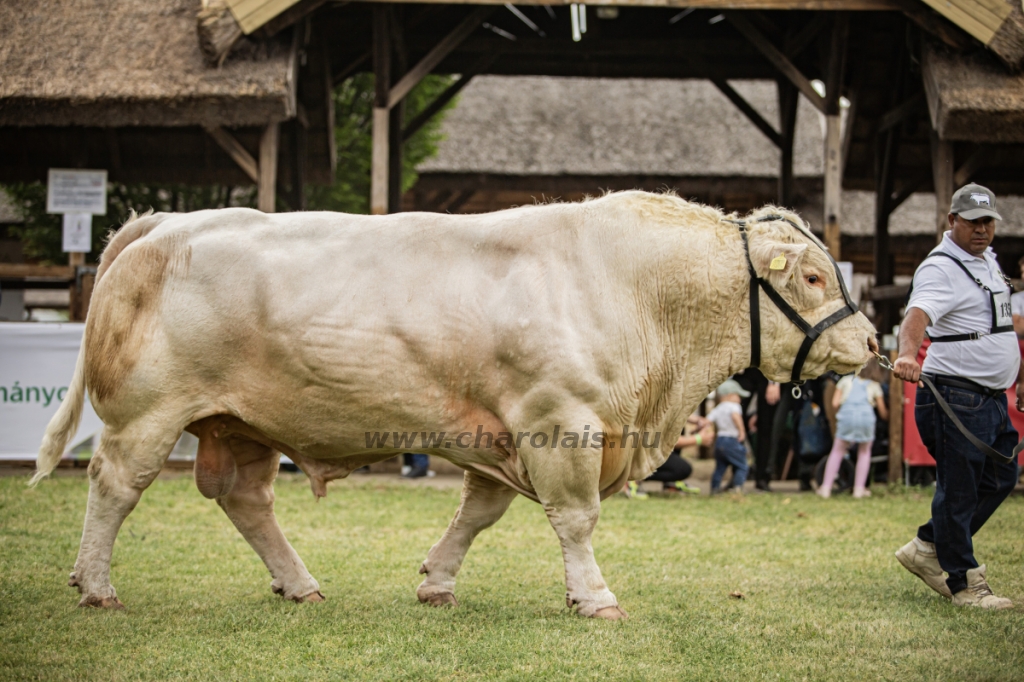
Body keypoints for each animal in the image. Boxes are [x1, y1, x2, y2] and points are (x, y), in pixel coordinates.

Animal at [32, 189, 872, 614]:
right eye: (811, 277)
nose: (869, 341)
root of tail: (168, 222)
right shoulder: (560, 423)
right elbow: (576, 521)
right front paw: (594, 596)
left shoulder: (503, 433)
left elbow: (478, 514)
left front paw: (437, 581)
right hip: (147, 415)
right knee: (115, 487)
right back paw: (96, 584)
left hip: (240, 425)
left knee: (245, 501)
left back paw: (299, 583)